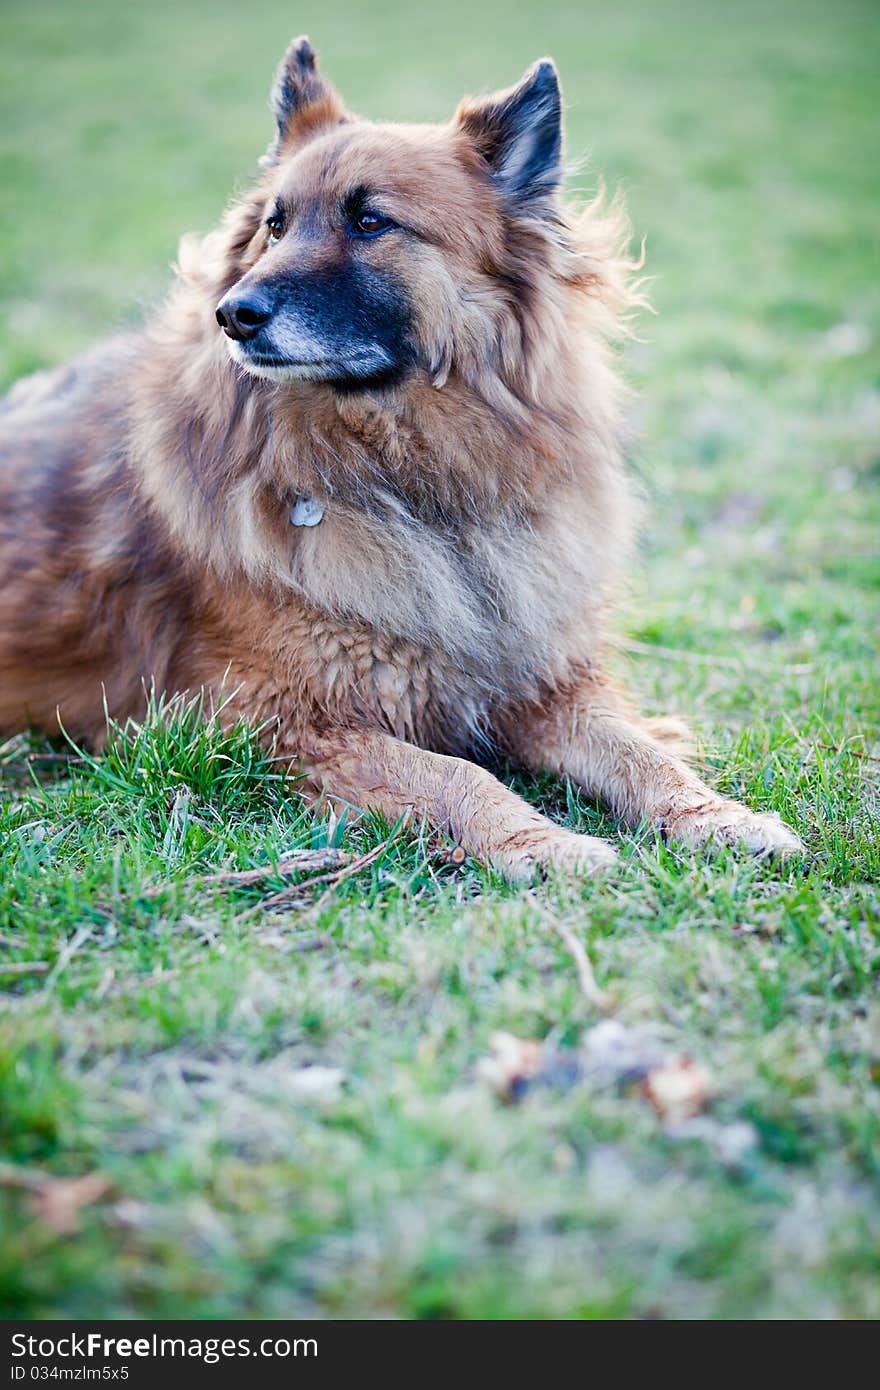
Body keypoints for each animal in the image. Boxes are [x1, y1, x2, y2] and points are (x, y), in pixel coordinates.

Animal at [0, 40, 800, 878]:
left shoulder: (542, 686)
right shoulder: (281, 725)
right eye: (275, 226)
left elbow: (640, 752)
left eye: (370, 221)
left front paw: (721, 817)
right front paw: (544, 844)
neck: (413, 482)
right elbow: (457, 775)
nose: (232, 315)